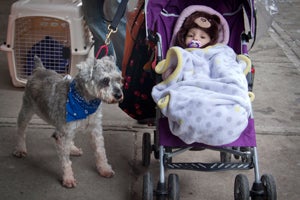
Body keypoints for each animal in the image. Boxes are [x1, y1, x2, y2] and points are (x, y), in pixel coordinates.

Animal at [13, 55, 123, 188]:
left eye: (119, 79)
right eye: (106, 80)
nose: (119, 95)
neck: (86, 103)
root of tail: (39, 69)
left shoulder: (95, 130)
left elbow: (100, 151)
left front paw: (104, 169)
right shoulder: (64, 133)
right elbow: (66, 161)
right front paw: (68, 178)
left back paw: (73, 149)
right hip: (27, 110)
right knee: (21, 130)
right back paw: (20, 149)